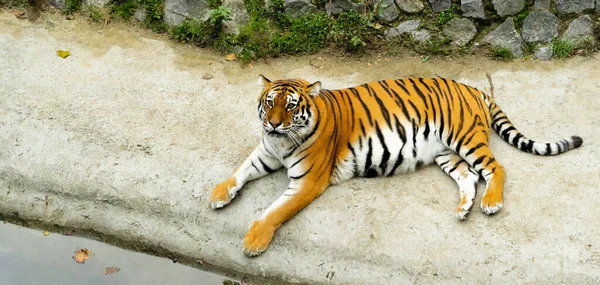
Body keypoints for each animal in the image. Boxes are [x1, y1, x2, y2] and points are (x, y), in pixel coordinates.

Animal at [209, 73, 584, 255]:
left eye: (289, 106)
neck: (281, 141)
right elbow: (240, 170)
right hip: (445, 152)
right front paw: (218, 194)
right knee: (468, 177)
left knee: (495, 168)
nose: (272, 124)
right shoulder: (264, 153)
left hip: (466, 138)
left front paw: (253, 242)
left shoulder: (308, 181)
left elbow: (274, 211)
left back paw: (491, 203)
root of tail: (473, 88)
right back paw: (464, 208)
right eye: (269, 102)